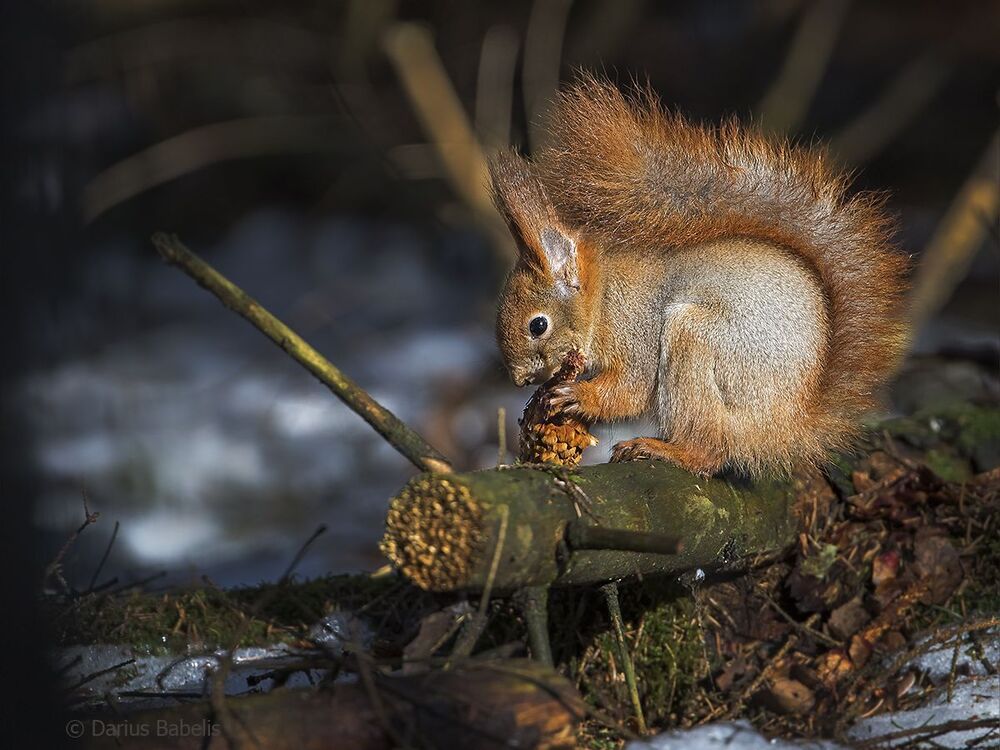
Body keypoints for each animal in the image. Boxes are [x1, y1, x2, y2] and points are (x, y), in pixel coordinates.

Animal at [490, 75, 909, 477]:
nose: (520, 380)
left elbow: (631, 389)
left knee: (709, 450)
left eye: (538, 325)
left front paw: (577, 396)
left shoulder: (634, 327)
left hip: (695, 341)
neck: (603, 295)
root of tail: (787, 427)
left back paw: (664, 449)